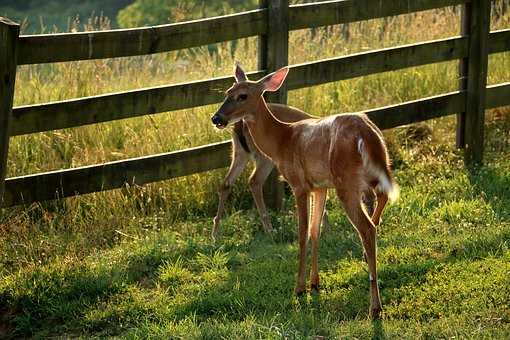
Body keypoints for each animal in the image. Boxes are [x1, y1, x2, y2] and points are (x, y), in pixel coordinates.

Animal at [210, 103, 330, 239]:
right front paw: (325, 229)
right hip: (264, 157)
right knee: (254, 181)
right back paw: (270, 230)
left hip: (239, 152)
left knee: (226, 183)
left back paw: (215, 232)